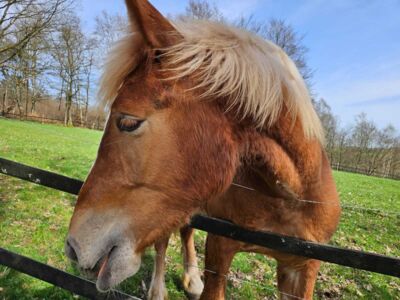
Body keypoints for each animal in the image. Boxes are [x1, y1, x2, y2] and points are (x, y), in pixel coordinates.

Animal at [65, 1, 340, 298]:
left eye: (128, 122)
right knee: (164, 241)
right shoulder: (219, 247)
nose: (73, 247)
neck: (290, 197)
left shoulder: (302, 267)